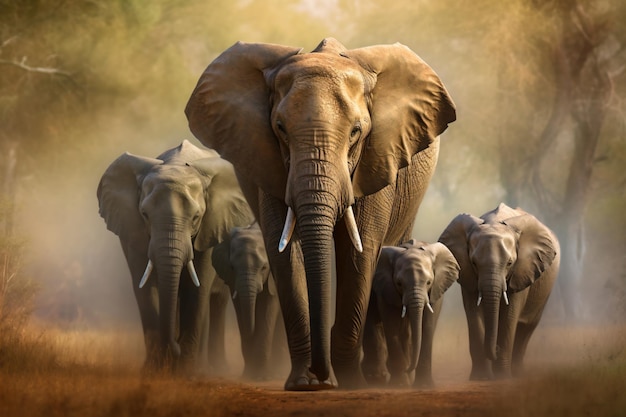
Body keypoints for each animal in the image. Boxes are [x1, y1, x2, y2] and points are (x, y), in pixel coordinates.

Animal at [96, 139, 252, 370]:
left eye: (196, 217)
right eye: (144, 214)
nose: (174, 346)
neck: (176, 165)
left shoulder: (210, 227)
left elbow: (197, 288)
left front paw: (186, 370)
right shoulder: (132, 229)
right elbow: (145, 287)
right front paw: (153, 370)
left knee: (216, 300)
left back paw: (214, 367)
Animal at [360, 240, 458, 386]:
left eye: (429, 282)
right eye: (399, 283)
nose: (409, 368)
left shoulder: (436, 289)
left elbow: (427, 325)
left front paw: (424, 385)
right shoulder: (387, 287)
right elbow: (392, 323)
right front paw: (399, 384)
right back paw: (377, 377)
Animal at [436, 202, 560, 380]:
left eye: (510, 263)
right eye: (474, 263)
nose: (495, 349)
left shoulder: (521, 270)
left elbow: (509, 316)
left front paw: (502, 377)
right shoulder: (467, 274)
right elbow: (473, 314)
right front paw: (480, 378)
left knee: (526, 327)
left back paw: (517, 374)